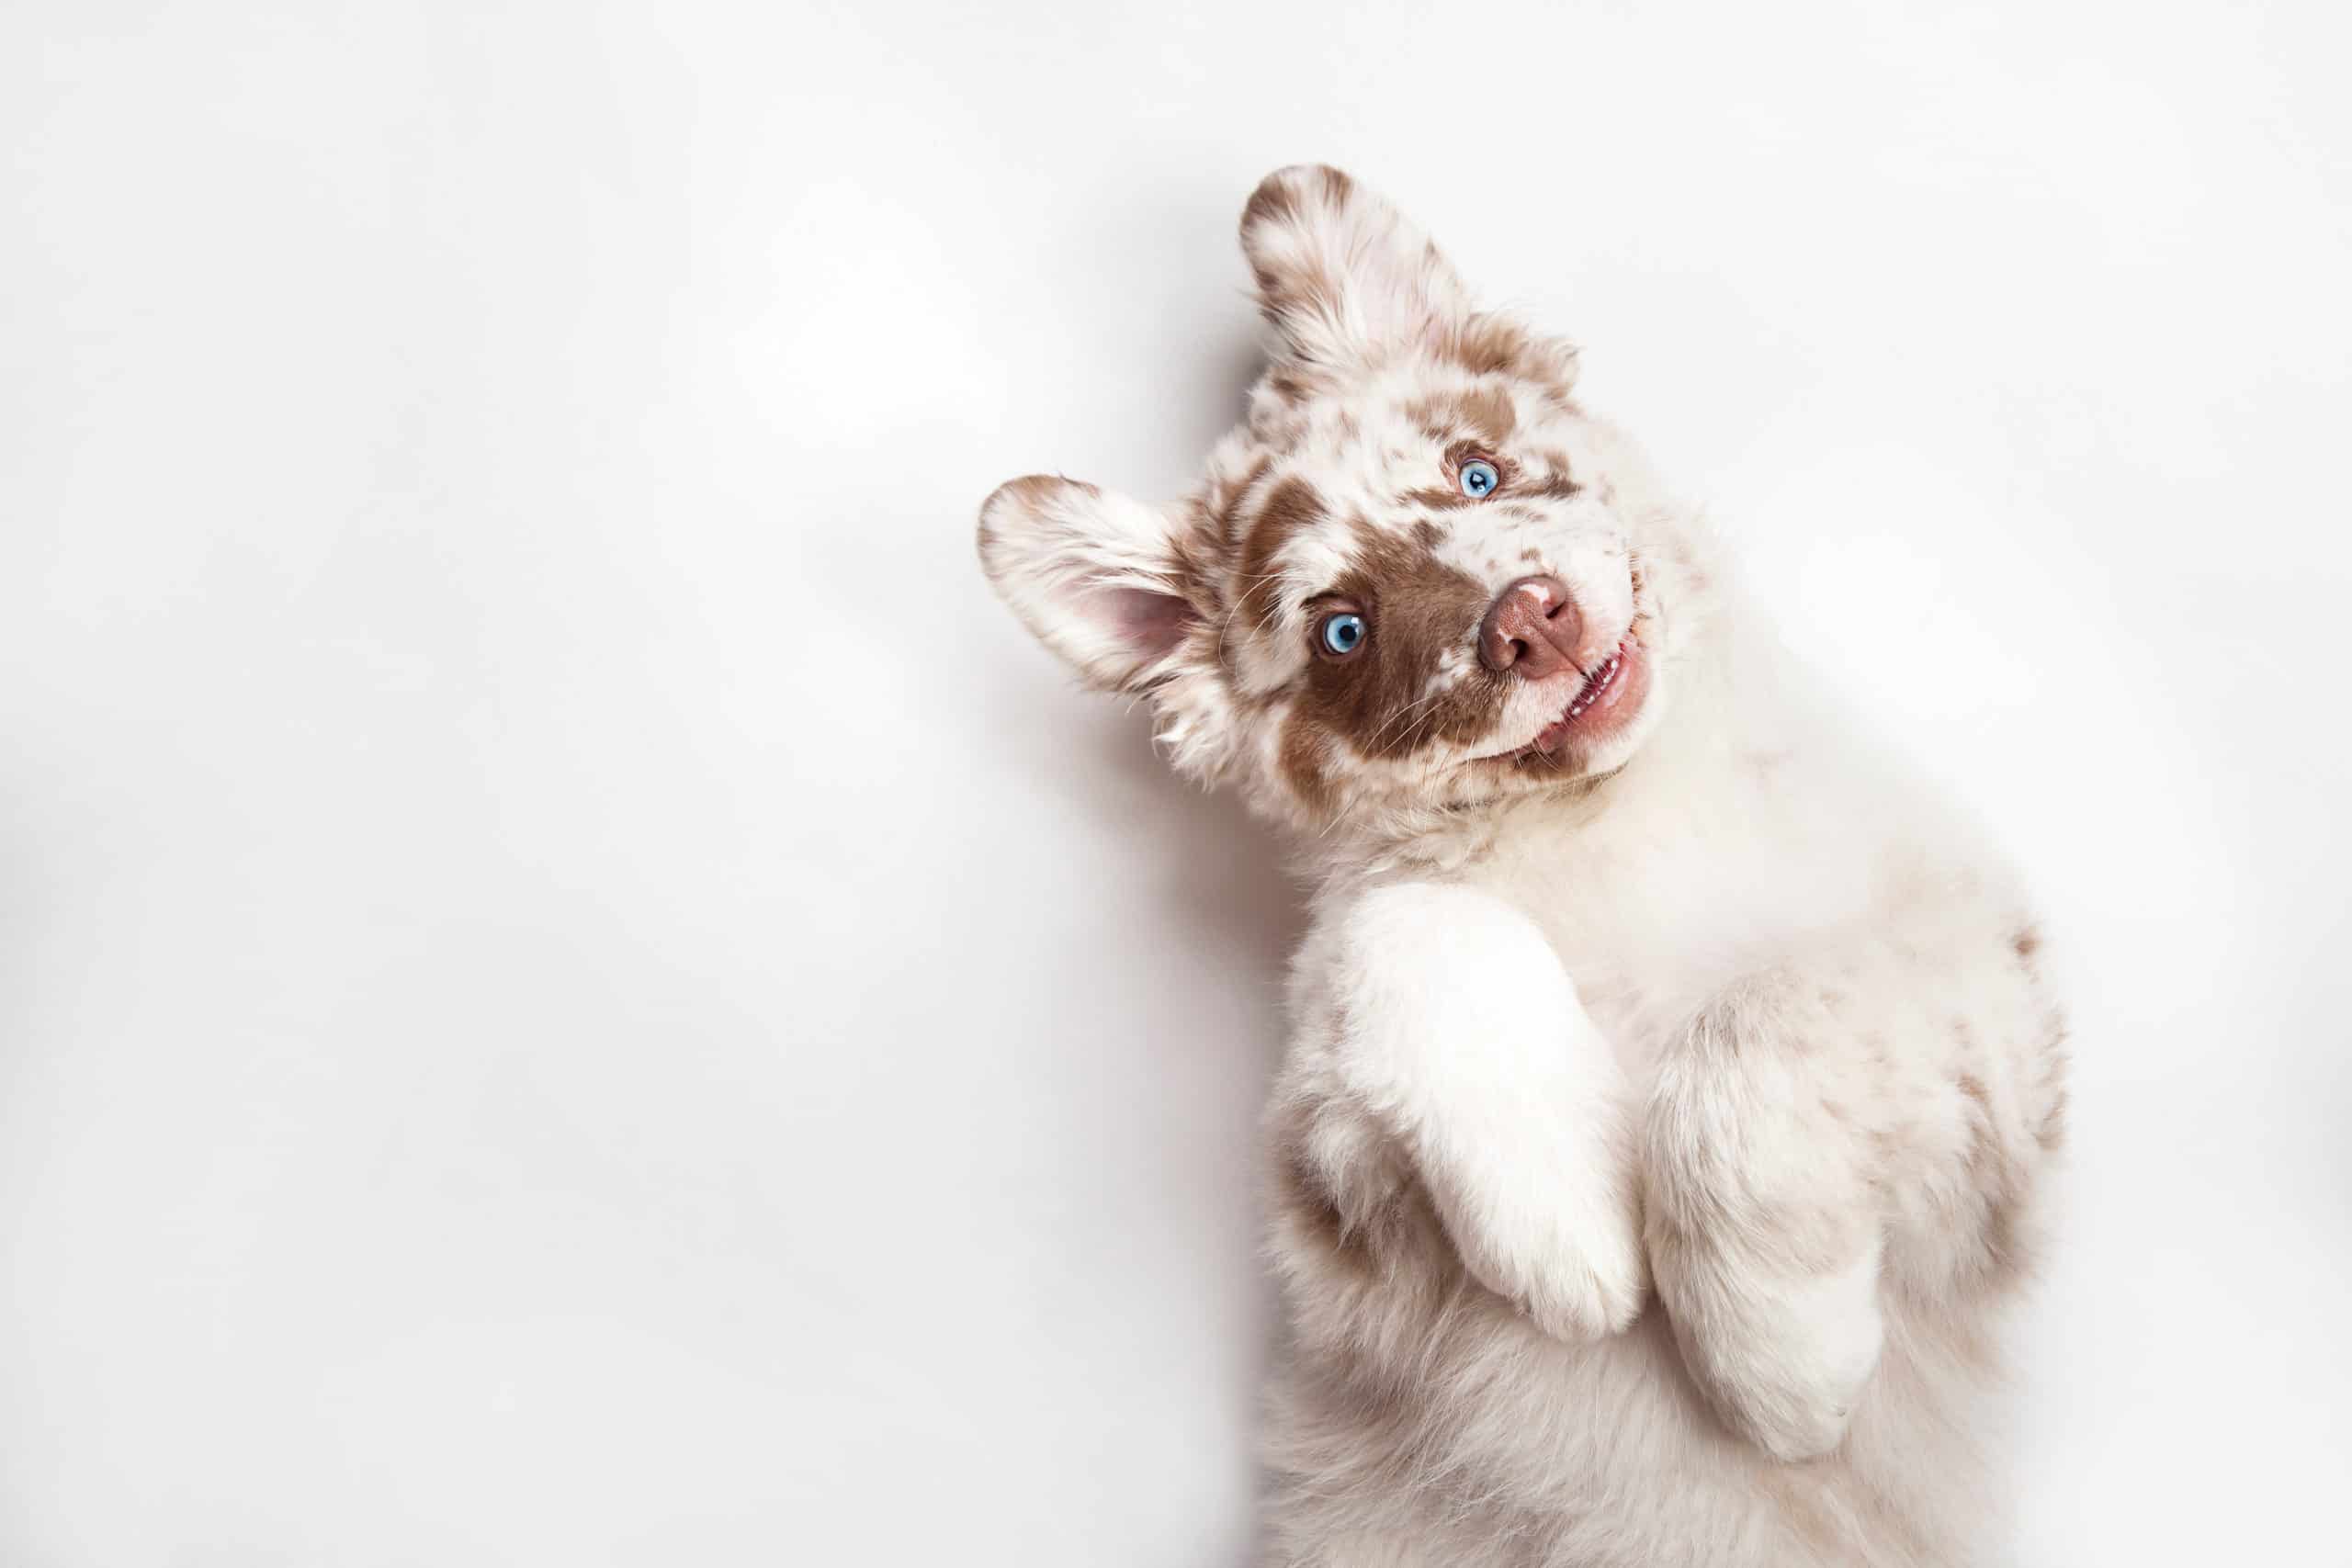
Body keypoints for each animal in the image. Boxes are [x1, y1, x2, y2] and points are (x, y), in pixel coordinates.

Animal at [973, 165, 2060, 1561]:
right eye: (1341, 630)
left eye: (1475, 471)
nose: (1528, 620)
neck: (1611, 817)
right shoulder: (1337, 1214)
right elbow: (1401, 923)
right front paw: (1571, 1229)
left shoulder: (1993, 1037)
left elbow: (1753, 1024)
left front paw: (1777, 1362)